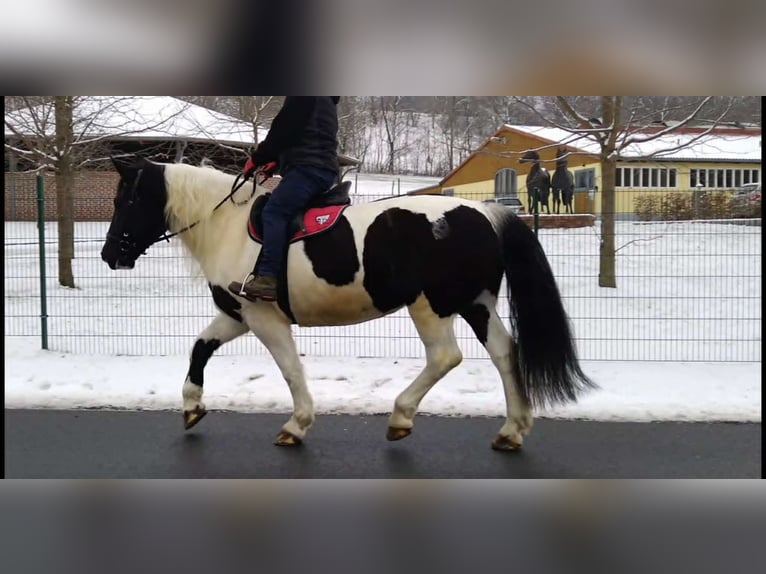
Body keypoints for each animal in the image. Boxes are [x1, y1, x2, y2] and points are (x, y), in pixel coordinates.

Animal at [100, 156, 594, 451]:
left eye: (128, 199)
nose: (109, 255)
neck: (229, 225)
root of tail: (487, 213)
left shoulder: (263, 318)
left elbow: (290, 369)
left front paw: (297, 424)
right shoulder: (235, 315)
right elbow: (200, 348)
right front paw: (191, 407)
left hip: (431, 307)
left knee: (445, 357)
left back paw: (401, 416)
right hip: (478, 304)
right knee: (505, 354)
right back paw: (512, 429)